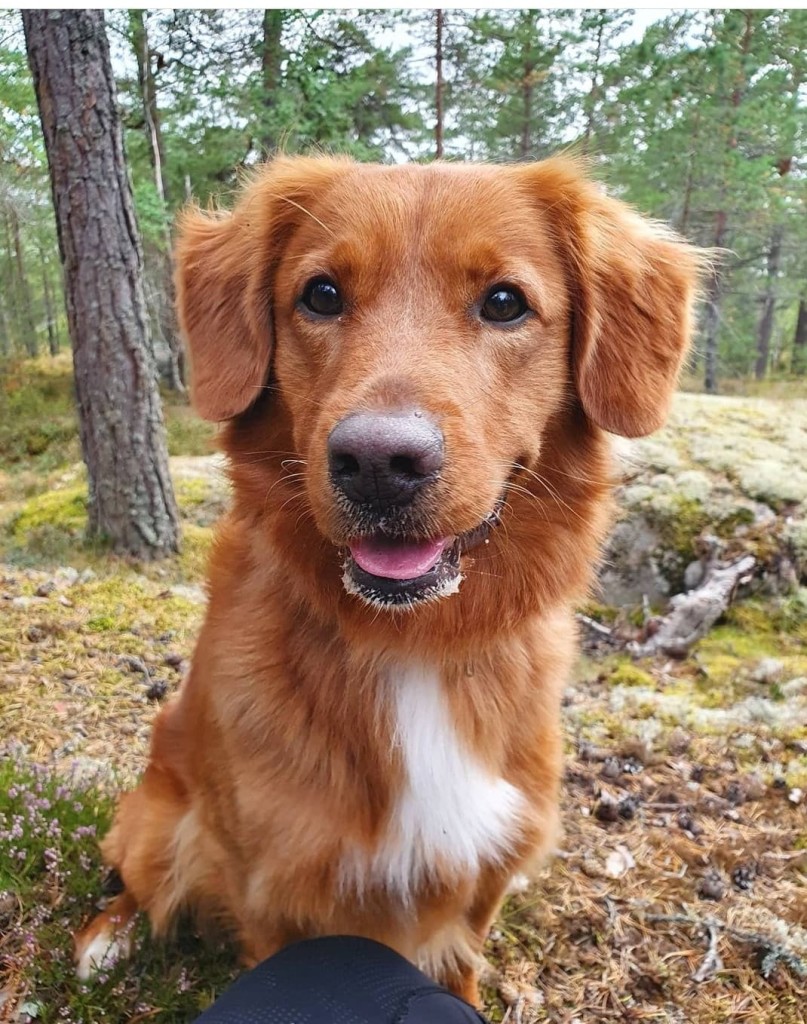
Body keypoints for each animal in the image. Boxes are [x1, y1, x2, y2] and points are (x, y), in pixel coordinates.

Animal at [75, 155, 704, 1003]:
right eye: (321, 294)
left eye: (504, 302)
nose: (378, 463)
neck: (414, 643)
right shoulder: (272, 891)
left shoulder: (480, 870)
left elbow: (460, 962)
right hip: (163, 819)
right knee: (136, 876)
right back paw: (105, 939)